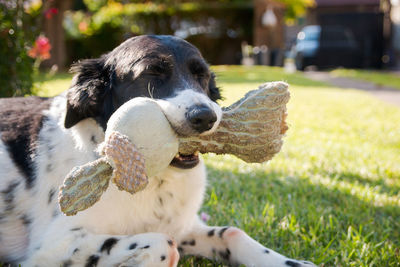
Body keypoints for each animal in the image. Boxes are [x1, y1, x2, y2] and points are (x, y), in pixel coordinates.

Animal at [0, 36, 316, 267]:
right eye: (151, 73)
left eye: (202, 76)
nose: (205, 117)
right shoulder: (54, 245)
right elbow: (163, 243)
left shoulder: (181, 225)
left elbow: (232, 233)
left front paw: (291, 263)